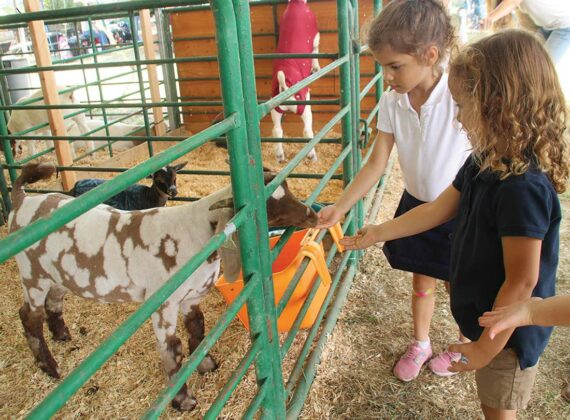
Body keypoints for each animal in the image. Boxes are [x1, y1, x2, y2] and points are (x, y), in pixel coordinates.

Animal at [8, 162, 318, 412]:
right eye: (269, 208)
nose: (311, 216)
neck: (195, 230)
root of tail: (21, 201)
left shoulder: (190, 297)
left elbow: (197, 328)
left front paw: (205, 365)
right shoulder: (164, 303)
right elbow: (172, 348)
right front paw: (183, 400)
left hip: (57, 275)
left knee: (53, 303)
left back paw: (62, 334)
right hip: (32, 273)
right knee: (28, 316)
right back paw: (50, 367)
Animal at [270, 0, 320, 163]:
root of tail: (286, 89)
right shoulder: (316, 34)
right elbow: (315, 47)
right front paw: (316, 67)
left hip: (275, 109)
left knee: (277, 130)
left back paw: (280, 156)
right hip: (304, 107)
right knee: (307, 130)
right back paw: (312, 156)